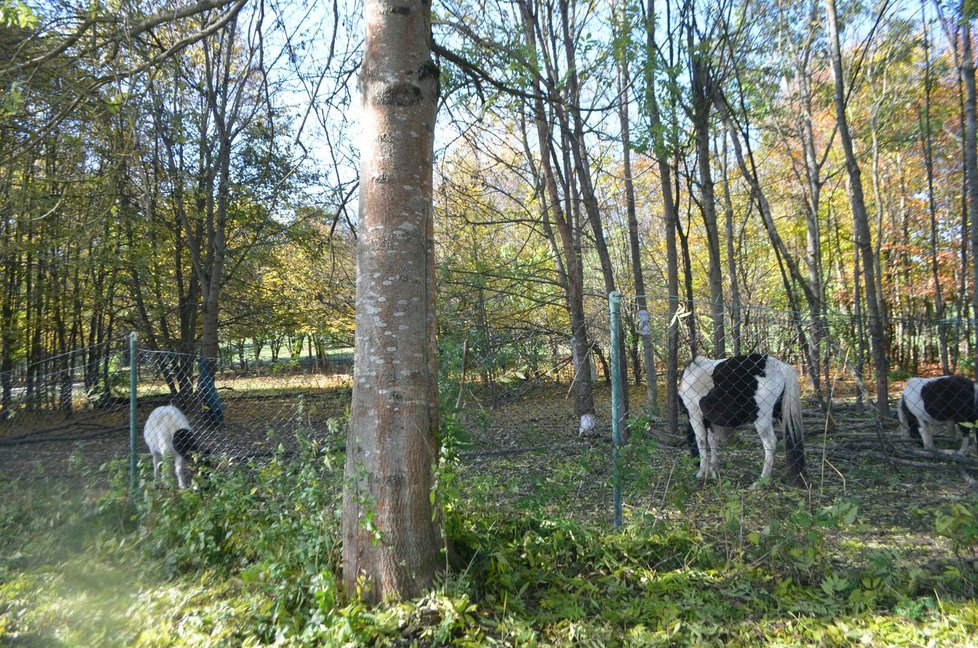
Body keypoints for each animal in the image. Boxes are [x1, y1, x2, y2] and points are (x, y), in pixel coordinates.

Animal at [680, 354, 808, 486]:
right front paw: (713, 469)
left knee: (770, 444)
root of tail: (779, 366)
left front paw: (702, 472)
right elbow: (712, 441)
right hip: (783, 415)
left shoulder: (695, 414)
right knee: (792, 438)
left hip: (762, 419)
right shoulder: (710, 420)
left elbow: (701, 441)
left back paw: (761, 481)